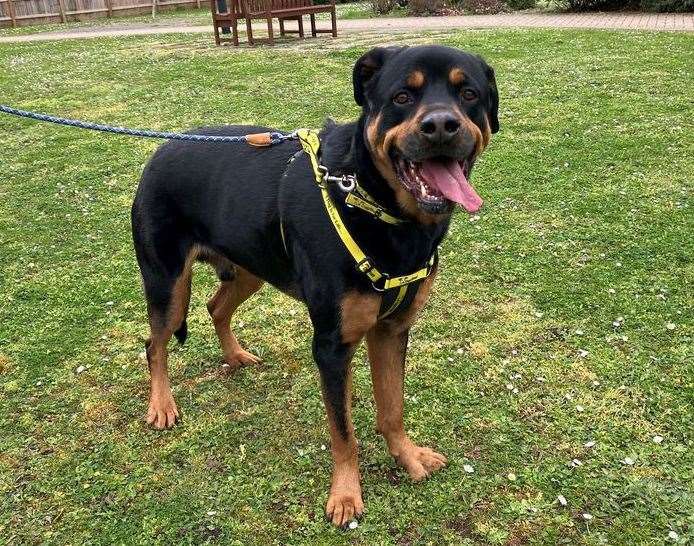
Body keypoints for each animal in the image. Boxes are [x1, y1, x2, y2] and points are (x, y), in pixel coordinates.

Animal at [132, 45, 500, 524]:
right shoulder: (332, 344)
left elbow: (392, 408)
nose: (440, 125)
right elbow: (343, 431)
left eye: (469, 93)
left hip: (250, 267)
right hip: (168, 282)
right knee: (155, 344)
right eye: (402, 97)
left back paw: (234, 356)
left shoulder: (391, 330)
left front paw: (407, 456)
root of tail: (160, 150)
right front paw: (345, 495)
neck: (373, 200)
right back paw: (161, 404)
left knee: (216, 307)